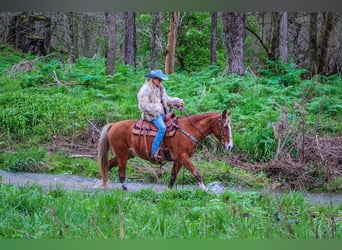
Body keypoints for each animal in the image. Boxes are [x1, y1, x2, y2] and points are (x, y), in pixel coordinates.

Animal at [97, 110, 234, 190]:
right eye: (225, 126)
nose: (229, 146)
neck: (188, 130)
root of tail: (113, 125)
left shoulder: (178, 160)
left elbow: (173, 176)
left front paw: (168, 192)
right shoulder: (184, 158)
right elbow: (196, 173)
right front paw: (205, 190)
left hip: (126, 154)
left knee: (107, 165)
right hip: (122, 155)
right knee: (120, 173)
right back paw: (123, 189)